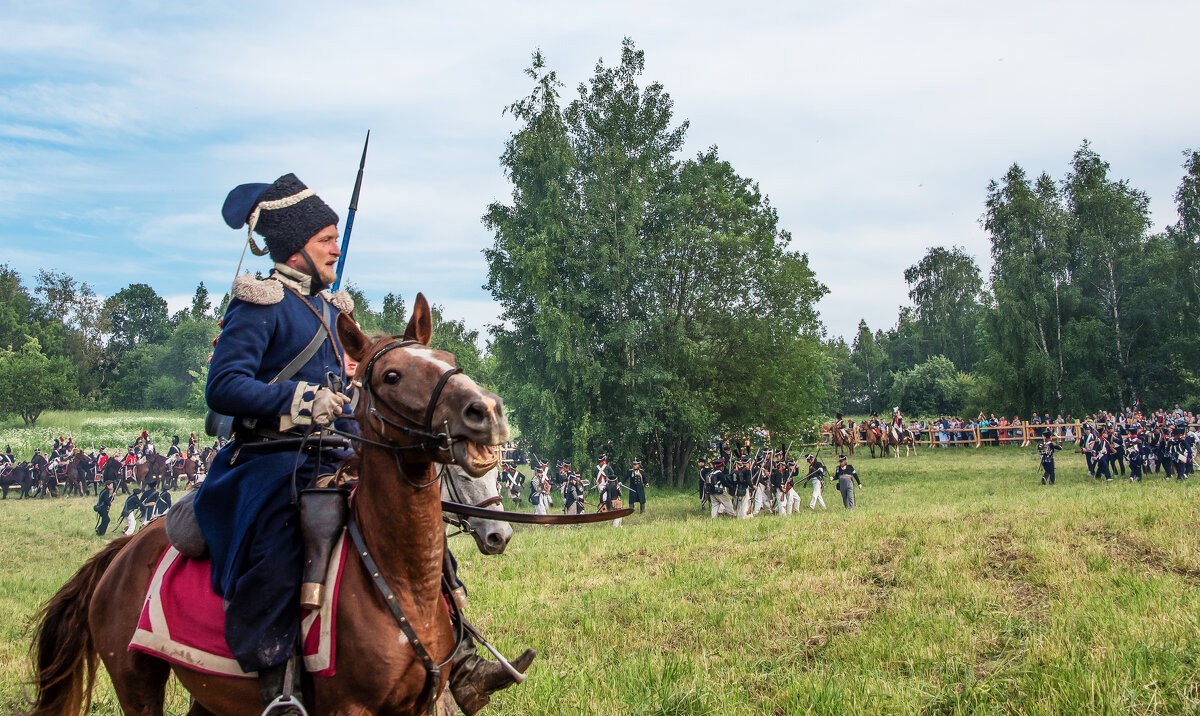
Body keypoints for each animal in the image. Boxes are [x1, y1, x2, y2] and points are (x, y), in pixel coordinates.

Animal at [28, 292, 506, 710]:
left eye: (447, 360)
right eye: (391, 375)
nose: (488, 411)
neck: (397, 577)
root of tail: (123, 553)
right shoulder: (348, 706)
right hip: (136, 682)